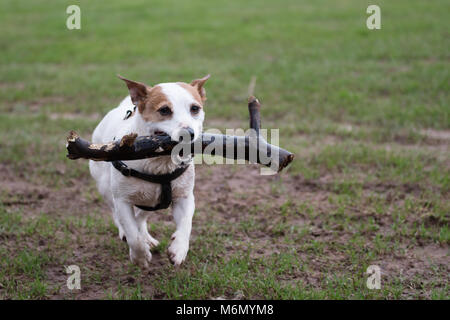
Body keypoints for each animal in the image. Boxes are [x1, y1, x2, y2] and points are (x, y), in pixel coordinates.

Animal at [89, 74, 210, 268]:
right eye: (164, 110)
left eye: (195, 108)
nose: (188, 133)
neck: (159, 161)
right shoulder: (122, 200)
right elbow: (132, 234)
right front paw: (139, 256)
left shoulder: (184, 197)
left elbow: (186, 224)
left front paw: (178, 249)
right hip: (105, 186)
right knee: (117, 215)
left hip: (152, 199)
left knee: (141, 216)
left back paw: (146, 236)